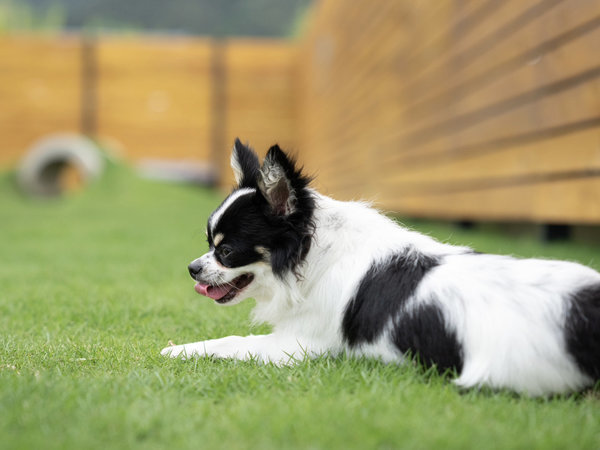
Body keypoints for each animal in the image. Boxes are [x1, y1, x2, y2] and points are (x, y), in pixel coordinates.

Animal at [161, 139, 600, 396]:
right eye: (207, 245)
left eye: (226, 250)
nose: (192, 268)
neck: (316, 255)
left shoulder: (296, 346)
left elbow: (229, 342)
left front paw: (179, 349)